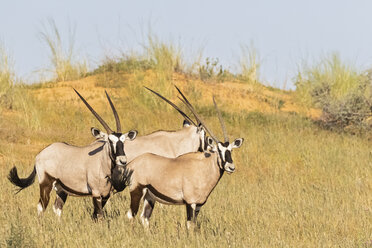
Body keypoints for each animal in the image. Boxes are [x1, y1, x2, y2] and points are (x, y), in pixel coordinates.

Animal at [7, 88, 138, 219]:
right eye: (110, 141)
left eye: (123, 141)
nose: (122, 160)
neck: (102, 162)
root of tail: (40, 154)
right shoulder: (96, 194)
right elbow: (99, 215)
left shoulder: (105, 195)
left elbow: (96, 216)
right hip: (45, 184)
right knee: (41, 207)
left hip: (61, 189)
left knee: (57, 208)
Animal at [123, 96, 243, 228]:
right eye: (219, 151)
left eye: (231, 150)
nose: (231, 167)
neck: (203, 167)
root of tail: (132, 164)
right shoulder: (190, 203)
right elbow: (189, 225)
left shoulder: (198, 205)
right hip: (136, 191)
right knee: (131, 215)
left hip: (149, 196)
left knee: (144, 217)